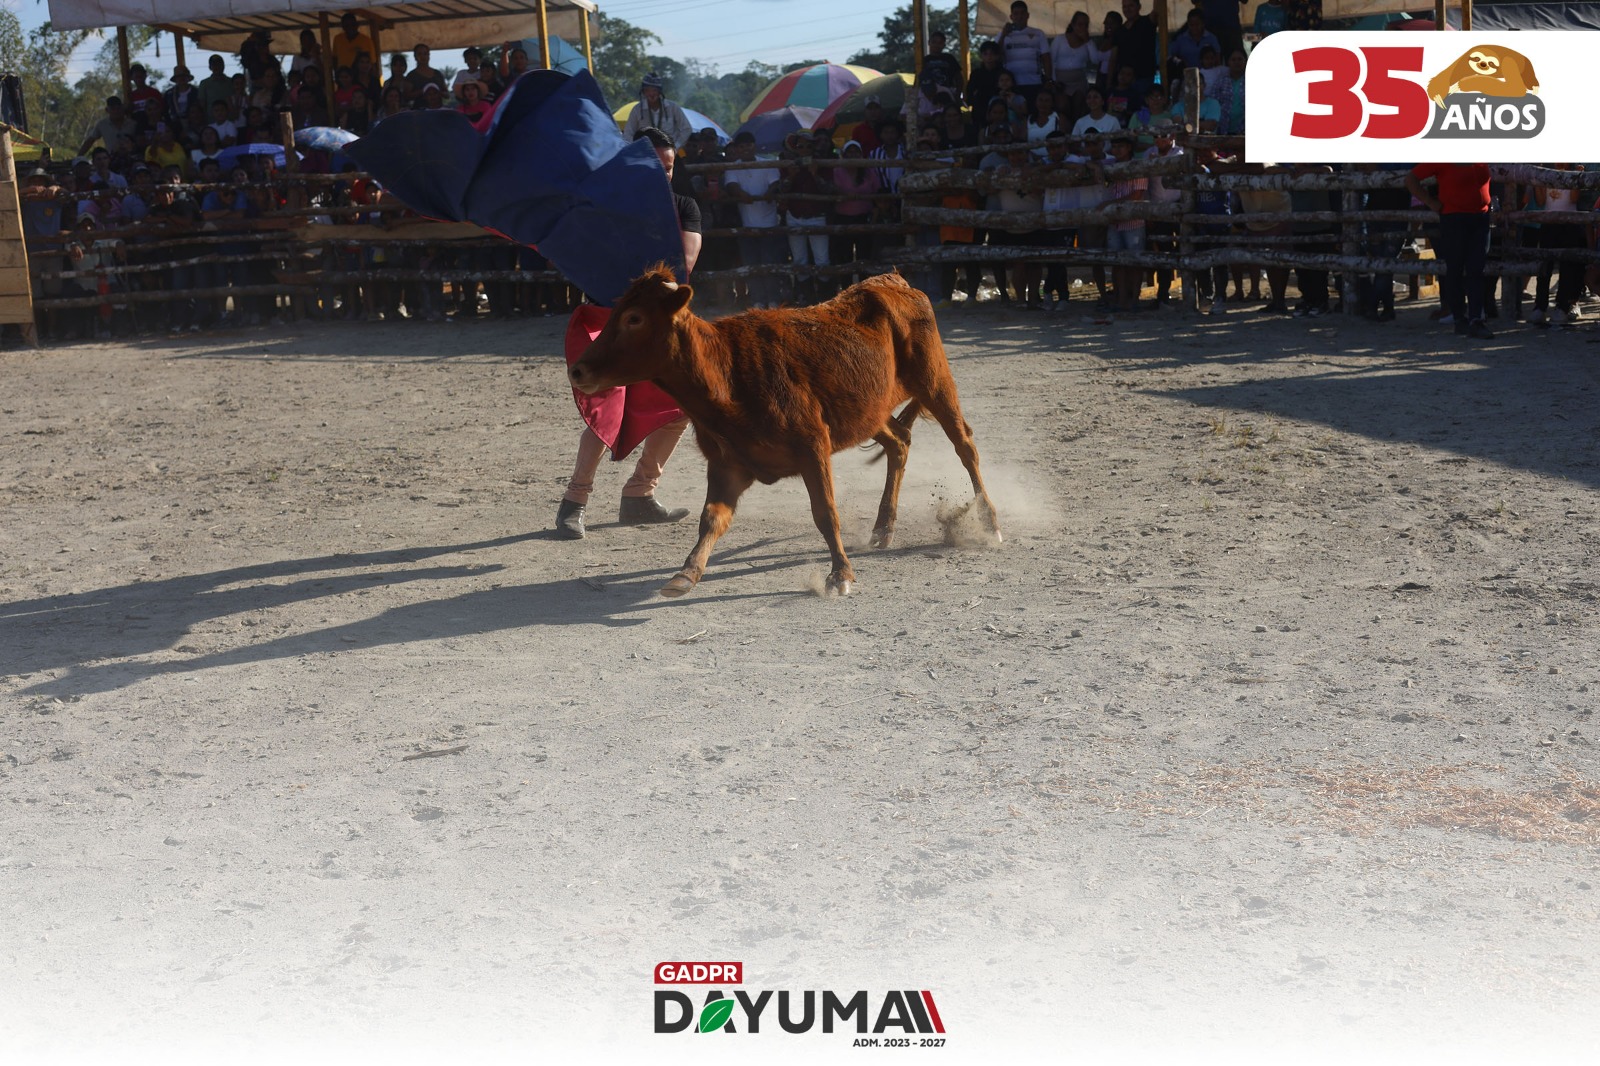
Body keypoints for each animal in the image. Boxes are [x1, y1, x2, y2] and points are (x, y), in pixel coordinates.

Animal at [566, 266, 1001, 598]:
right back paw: (882, 528)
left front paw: (840, 575)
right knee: (900, 443)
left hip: (935, 382)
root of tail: (894, 280)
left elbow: (825, 512)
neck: (727, 375)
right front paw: (685, 574)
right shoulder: (726, 464)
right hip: (868, 412)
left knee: (965, 446)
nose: (578, 370)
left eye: (634, 318)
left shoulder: (813, 448)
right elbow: (712, 519)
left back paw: (990, 523)